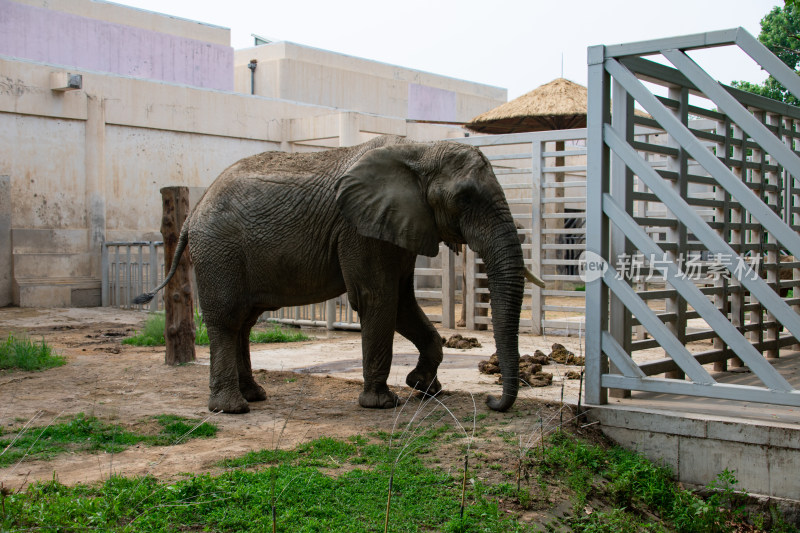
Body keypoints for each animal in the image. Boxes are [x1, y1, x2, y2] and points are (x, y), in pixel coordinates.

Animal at [134, 135, 548, 414]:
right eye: (464, 198)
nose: (492, 400)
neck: (419, 149)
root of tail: (193, 211)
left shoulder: (396, 224)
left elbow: (402, 303)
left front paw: (425, 388)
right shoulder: (359, 229)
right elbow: (377, 298)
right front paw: (382, 403)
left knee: (244, 322)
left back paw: (255, 395)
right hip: (219, 250)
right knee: (226, 319)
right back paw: (232, 408)